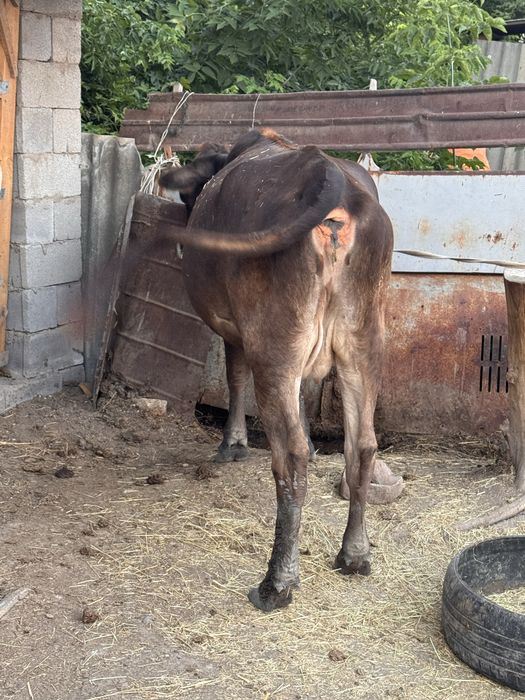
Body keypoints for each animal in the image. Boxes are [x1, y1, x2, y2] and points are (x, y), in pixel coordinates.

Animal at [158, 128, 393, 612]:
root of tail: (333, 178)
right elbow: (306, 397)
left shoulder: (234, 331)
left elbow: (234, 378)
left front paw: (233, 443)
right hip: (364, 343)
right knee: (361, 445)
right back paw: (355, 554)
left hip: (274, 346)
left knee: (291, 458)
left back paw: (277, 581)